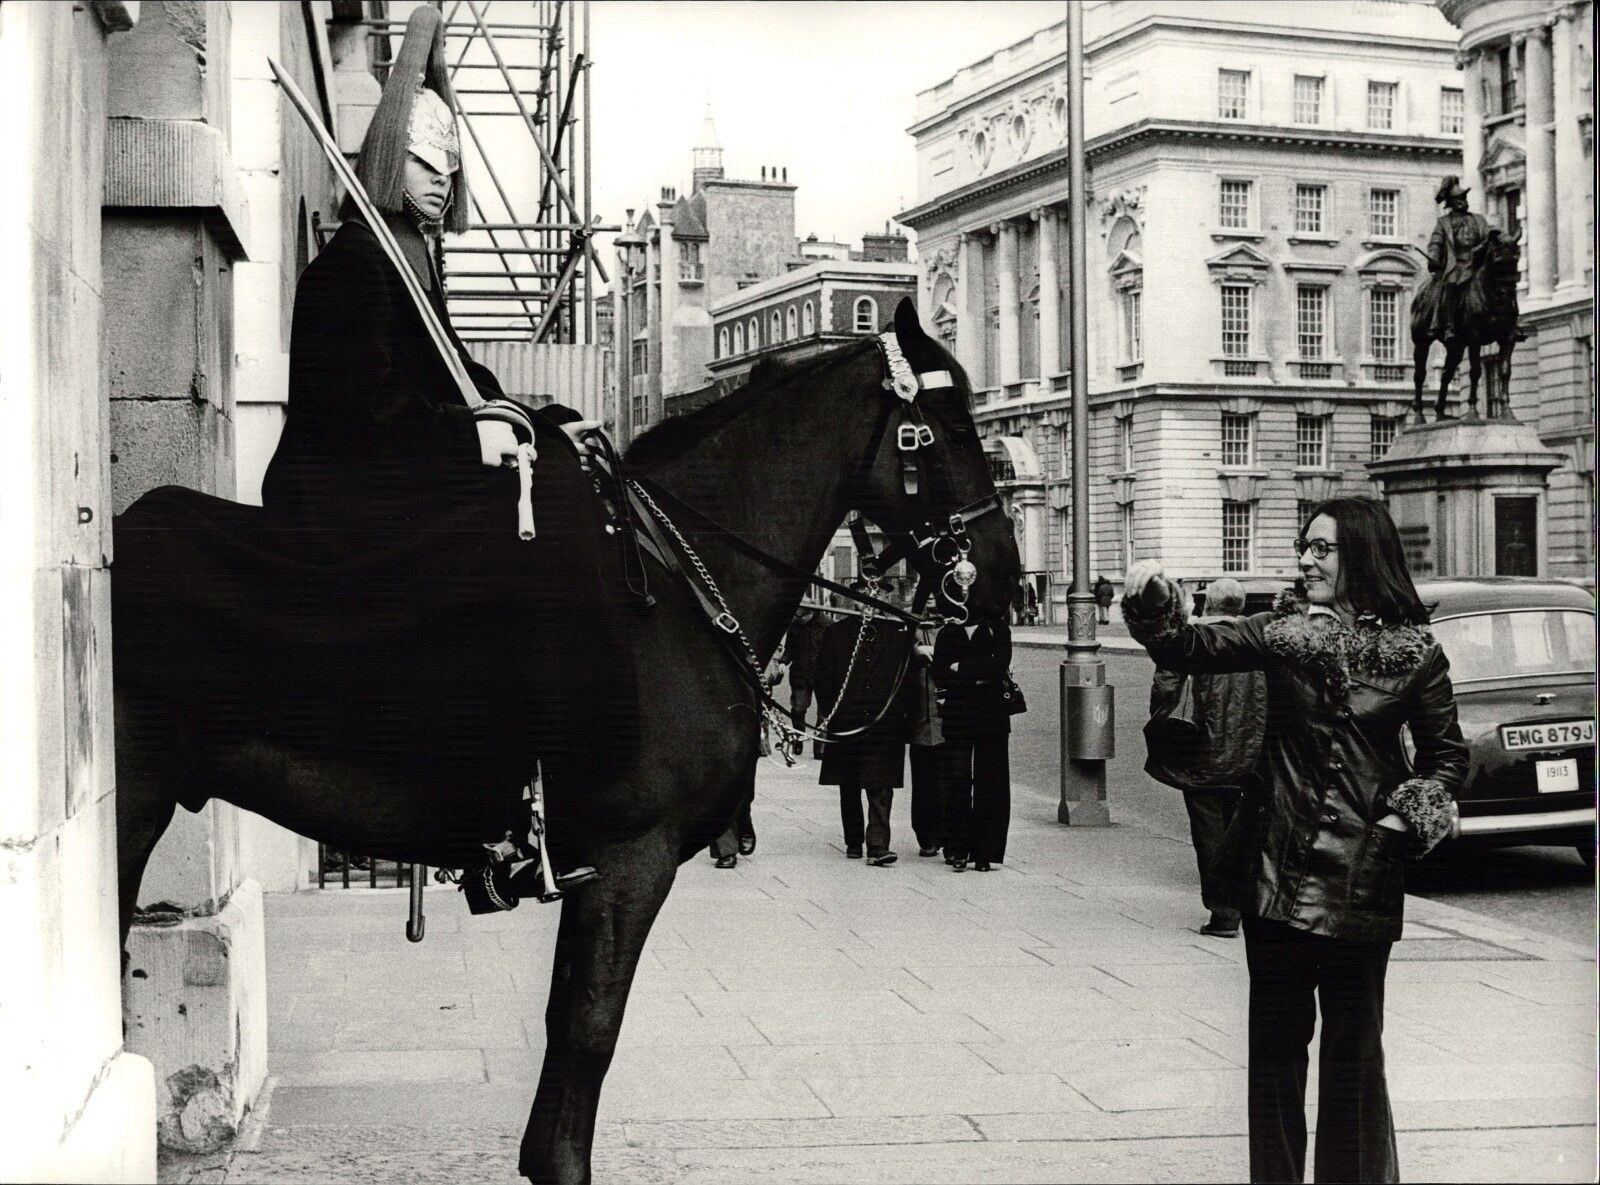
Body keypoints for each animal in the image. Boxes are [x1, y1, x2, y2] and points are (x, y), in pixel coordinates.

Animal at [112, 294, 1017, 1177]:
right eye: (952, 427)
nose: (1004, 574)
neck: (681, 591)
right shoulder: (631, 857)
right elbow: (590, 1026)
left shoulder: (593, 869)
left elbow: (564, 1017)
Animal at [1414, 227, 1523, 422]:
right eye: (1497, 259)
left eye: (1516, 258)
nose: (1509, 296)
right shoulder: (1474, 338)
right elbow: (1475, 371)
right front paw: (1472, 411)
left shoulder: (1508, 337)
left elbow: (1505, 370)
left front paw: (1507, 411)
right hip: (1421, 342)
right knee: (1419, 375)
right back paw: (1419, 415)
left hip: (1455, 346)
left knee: (1446, 374)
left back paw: (1440, 412)